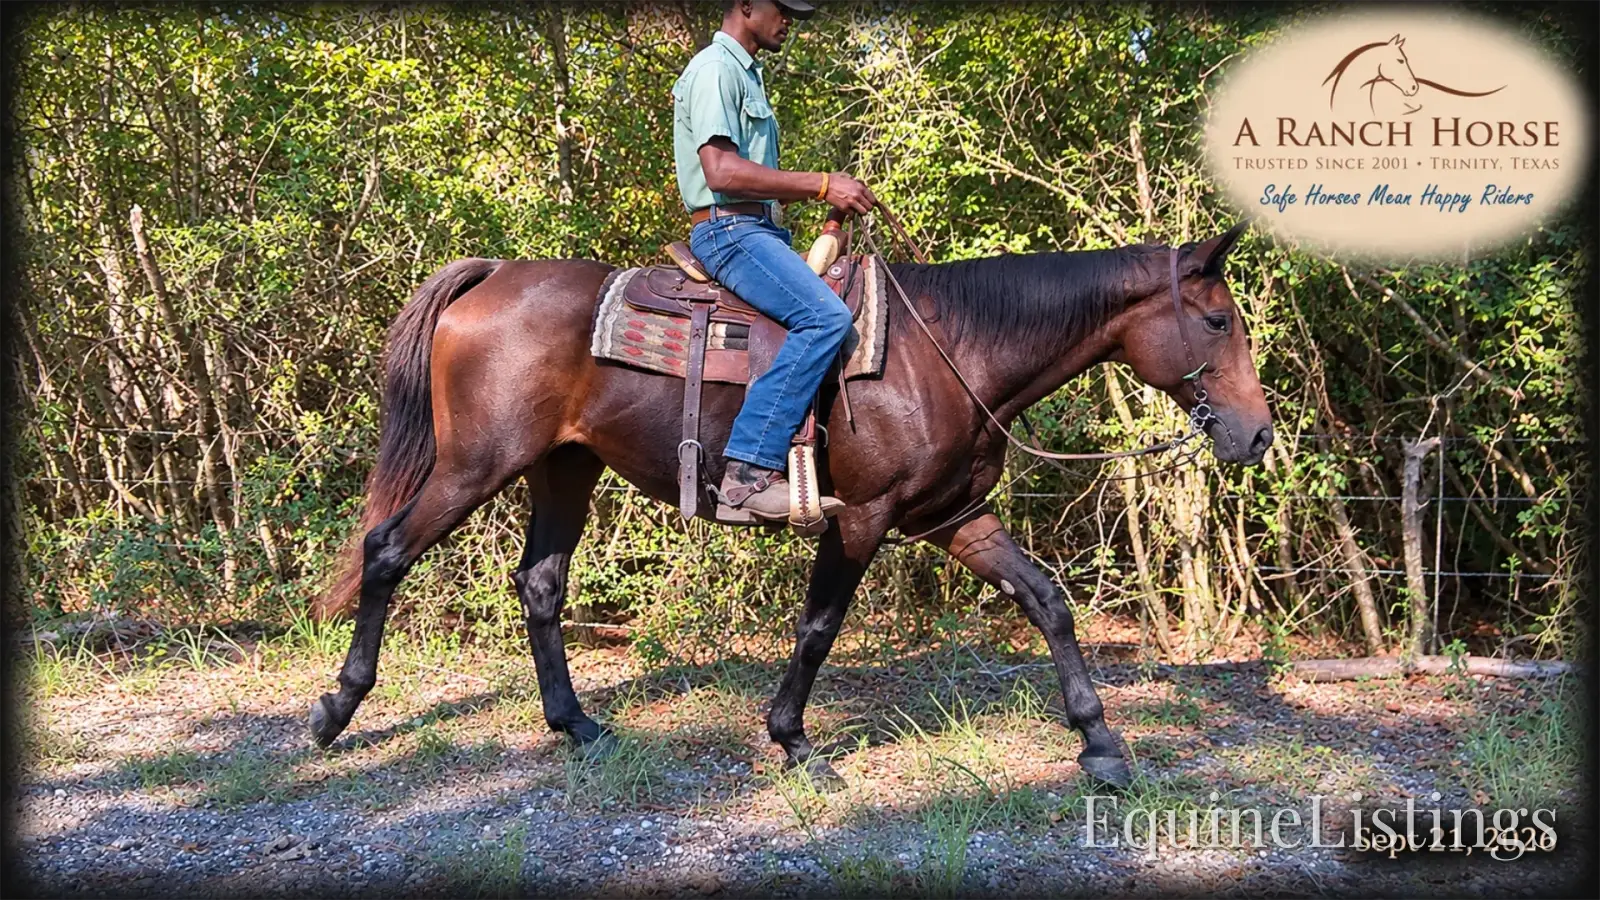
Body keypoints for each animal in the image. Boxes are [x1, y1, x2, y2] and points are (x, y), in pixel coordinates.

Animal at [306, 221, 1273, 788]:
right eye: (1218, 322)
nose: (1259, 436)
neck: (950, 350)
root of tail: (493, 274)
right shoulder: (864, 515)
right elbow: (818, 628)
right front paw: (795, 743)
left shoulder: (953, 517)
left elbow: (1046, 602)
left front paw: (1101, 744)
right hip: (475, 465)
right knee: (387, 551)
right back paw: (336, 712)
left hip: (562, 469)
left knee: (540, 585)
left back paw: (578, 726)